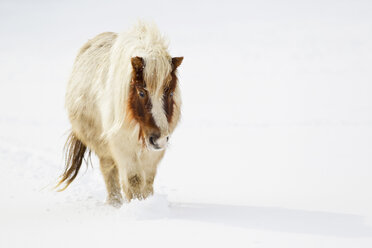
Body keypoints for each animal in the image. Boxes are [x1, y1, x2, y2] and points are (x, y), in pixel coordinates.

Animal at [56, 21, 183, 207]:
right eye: (141, 92)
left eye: (171, 93)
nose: (158, 139)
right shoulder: (123, 146)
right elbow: (134, 179)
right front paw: (137, 205)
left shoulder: (154, 152)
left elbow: (148, 179)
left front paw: (147, 202)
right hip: (103, 147)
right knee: (109, 171)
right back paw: (114, 202)